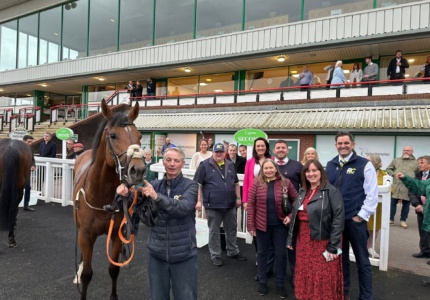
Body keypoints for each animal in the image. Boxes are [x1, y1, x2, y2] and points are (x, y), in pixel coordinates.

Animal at [74, 101, 146, 300]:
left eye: (140, 136)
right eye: (113, 135)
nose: (138, 170)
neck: (100, 195)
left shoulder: (116, 234)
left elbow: (114, 269)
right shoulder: (86, 235)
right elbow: (87, 274)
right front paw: (82, 276)